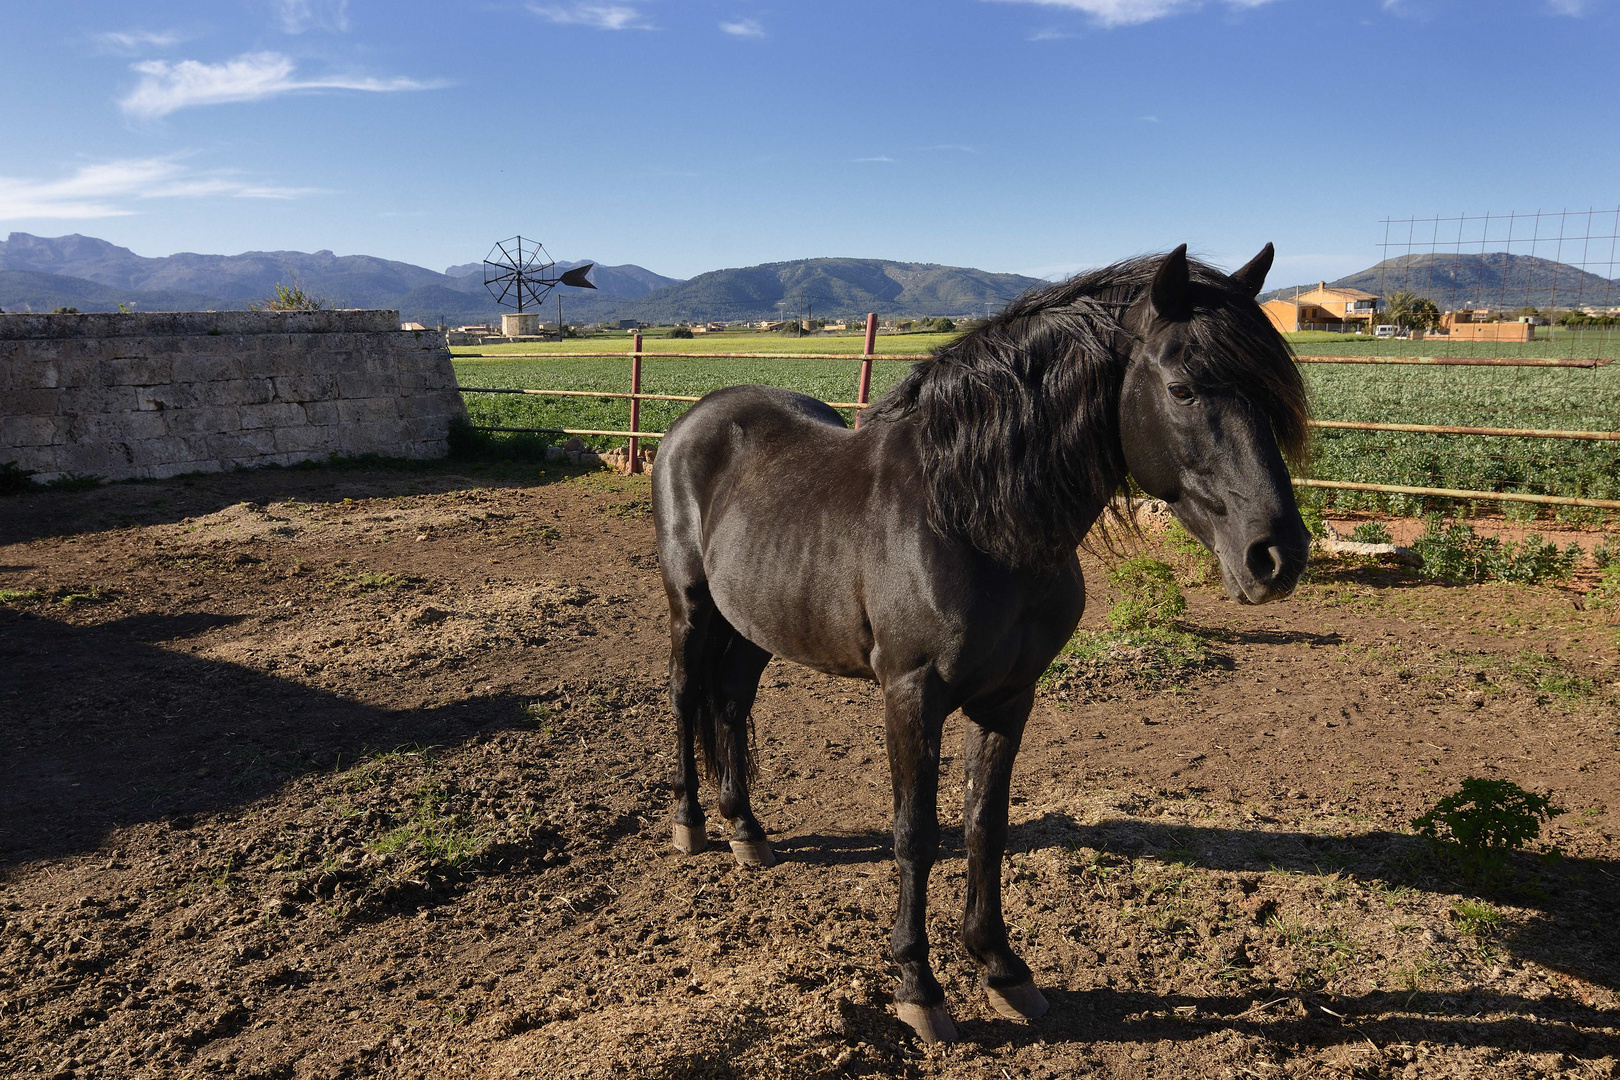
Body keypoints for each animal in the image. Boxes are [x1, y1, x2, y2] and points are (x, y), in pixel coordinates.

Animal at [651, 242, 1308, 1036]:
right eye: (1182, 389)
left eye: (1270, 397)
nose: (1276, 557)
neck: (973, 519)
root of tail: (695, 420)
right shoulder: (911, 694)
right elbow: (915, 833)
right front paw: (919, 987)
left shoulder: (1009, 697)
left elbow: (984, 826)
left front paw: (1002, 968)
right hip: (691, 608)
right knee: (686, 698)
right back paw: (690, 825)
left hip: (753, 624)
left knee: (729, 704)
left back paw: (746, 830)